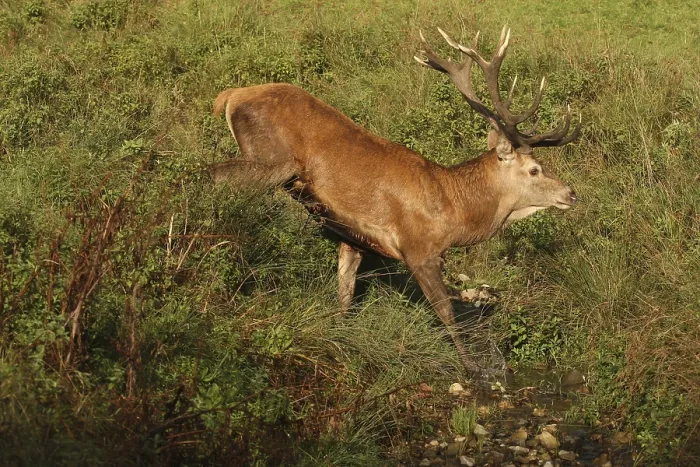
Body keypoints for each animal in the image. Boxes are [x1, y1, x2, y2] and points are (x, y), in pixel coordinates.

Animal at [210, 26, 581, 377]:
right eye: (534, 169)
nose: (571, 193)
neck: (454, 210)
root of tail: (229, 96)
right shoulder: (419, 249)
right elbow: (446, 311)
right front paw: (473, 368)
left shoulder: (354, 238)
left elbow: (344, 295)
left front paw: (340, 339)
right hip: (271, 160)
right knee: (216, 176)